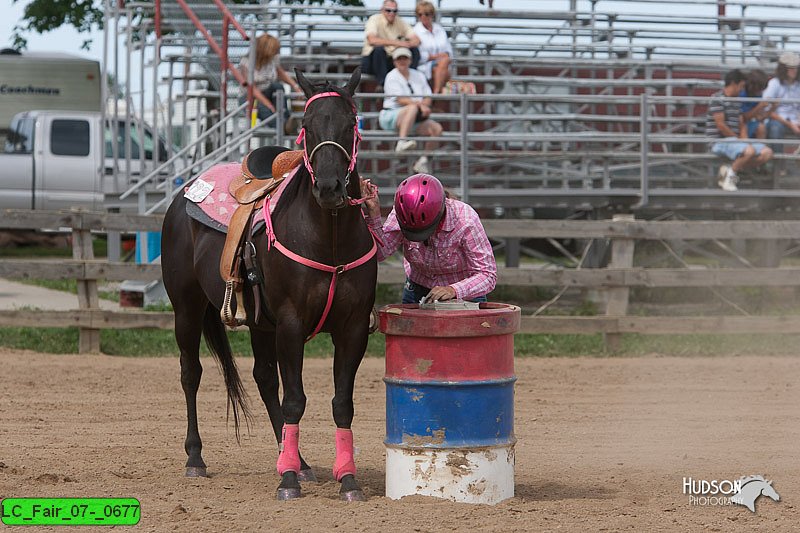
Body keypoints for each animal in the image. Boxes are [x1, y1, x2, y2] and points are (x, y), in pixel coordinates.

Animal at [162, 68, 378, 500]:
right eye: (307, 125)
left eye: (351, 123)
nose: (329, 188)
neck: (328, 236)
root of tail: (184, 193)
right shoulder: (292, 324)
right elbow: (295, 399)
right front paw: (288, 481)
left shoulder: (352, 328)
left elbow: (342, 403)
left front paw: (347, 479)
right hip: (187, 308)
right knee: (191, 372)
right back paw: (196, 458)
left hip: (261, 323)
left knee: (263, 377)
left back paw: (299, 462)